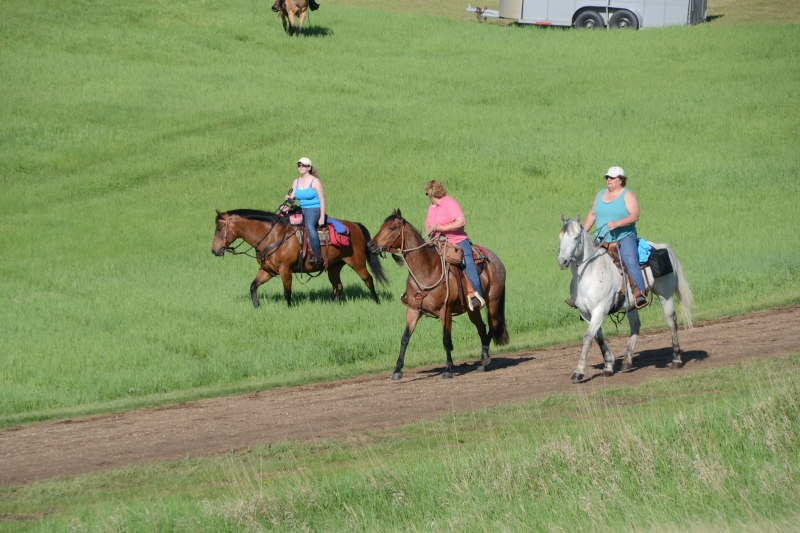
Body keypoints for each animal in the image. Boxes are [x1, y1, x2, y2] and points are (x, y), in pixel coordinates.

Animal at [212, 209, 388, 307]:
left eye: (219, 228)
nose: (214, 250)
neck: (273, 236)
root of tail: (355, 225)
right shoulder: (267, 270)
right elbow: (253, 286)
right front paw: (256, 305)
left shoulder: (285, 270)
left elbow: (287, 292)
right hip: (334, 266)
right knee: (338, 286)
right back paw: (333, 305)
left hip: (357, 263)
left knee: (368, 280)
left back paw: (377, 302)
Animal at [368, 209, 509, 380]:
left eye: (392, 228)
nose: (371, 245)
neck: (427, 269)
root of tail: (497, 260)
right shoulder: (413, 310)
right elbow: (404, 339)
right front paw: (397, 370)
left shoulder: (445, 310)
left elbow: (446, 339)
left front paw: (448, 369)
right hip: (472, 309)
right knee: (481, 327)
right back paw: (484, 360)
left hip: (493, 301)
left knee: (494, 323)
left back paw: (484, 357)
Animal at [557, 215, 694, 381]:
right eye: (560, 238)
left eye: (576, 237)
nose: (562, 261)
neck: (589, 273)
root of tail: (662, 247)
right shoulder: (586, 313)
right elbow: (598, 337)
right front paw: (608, 365)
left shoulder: (600, 310)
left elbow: (588, 337)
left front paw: (579, 371)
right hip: (633, 303)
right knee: (635, 325)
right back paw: (627, 361)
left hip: (665, 295)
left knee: (671, 321)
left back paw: (676, 359)